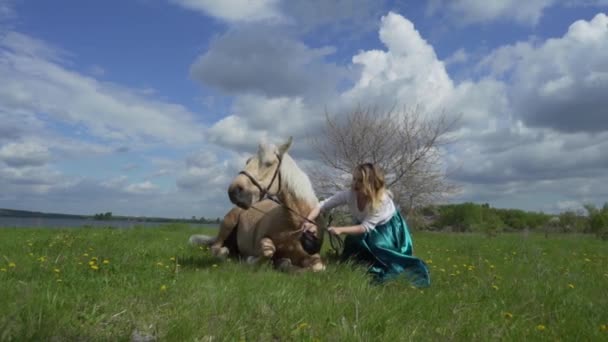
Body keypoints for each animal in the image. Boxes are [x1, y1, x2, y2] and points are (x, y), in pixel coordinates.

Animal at [191, 137, 328, 272]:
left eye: (269, 163)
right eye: (247, 162)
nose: (233, 191)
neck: (295, 225)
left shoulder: (314, 258)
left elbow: (317, 268)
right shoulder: (262, 242)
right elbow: (268, 250)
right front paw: (253, 260)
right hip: (228, 225)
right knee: (218, 249)